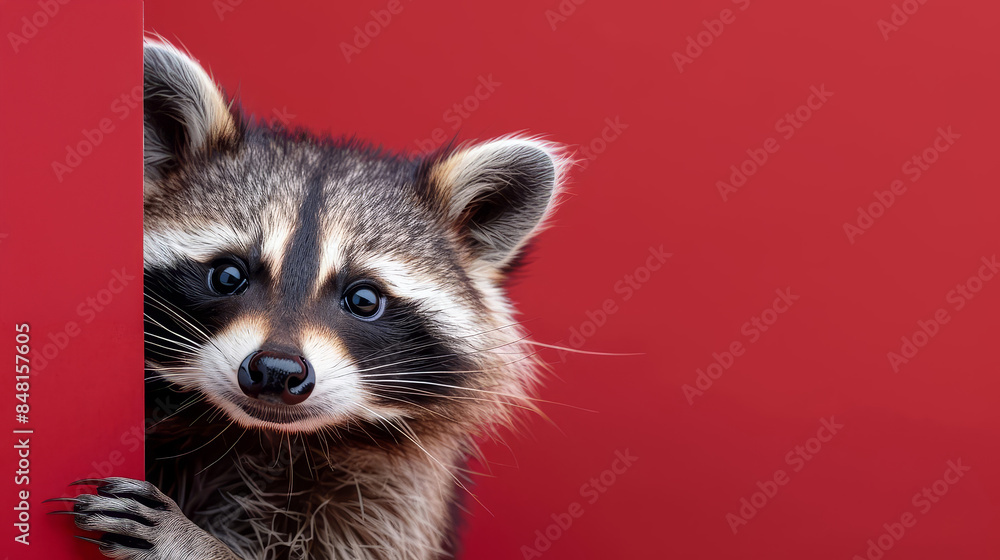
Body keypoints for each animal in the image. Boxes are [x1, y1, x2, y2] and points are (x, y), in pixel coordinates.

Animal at [52, 39, 568, 559]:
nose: (275, 371)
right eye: (228, 275)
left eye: (364, 299)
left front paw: (192, 540)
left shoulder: (393, 497)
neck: (260, 435)